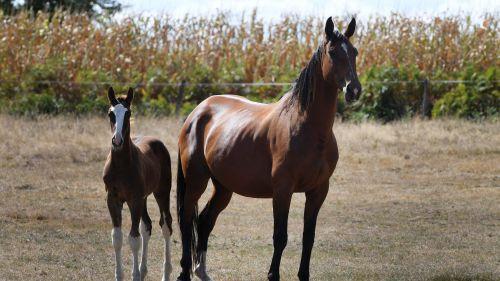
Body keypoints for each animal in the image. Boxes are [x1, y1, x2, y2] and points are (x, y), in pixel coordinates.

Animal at [101, 87, 172, 280]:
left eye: (128, 113)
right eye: (110, 113)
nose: (117, 140)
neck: (121, 166)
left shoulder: (134, 200)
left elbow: (133, 239)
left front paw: (135, 275)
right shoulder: (113, 199)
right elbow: (117, 238)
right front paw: (120, 275)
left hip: (162, 192)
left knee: (166, 225)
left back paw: (166, 273)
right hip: (144, 198)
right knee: (147, 226)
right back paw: (143, 270)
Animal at [175, 17, 360, 280]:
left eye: (354, 52)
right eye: (333, 52)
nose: (354, 90)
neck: (308, 128)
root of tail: (197, 112)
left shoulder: (318, 191)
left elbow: (309, 238)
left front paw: (303, 275)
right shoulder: (282, 190)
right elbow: (280, 237)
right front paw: (273, 275)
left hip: (223, 187)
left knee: (204, 220)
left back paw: (201, 271)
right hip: (196, 181)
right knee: (186, 219)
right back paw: (184, 272)